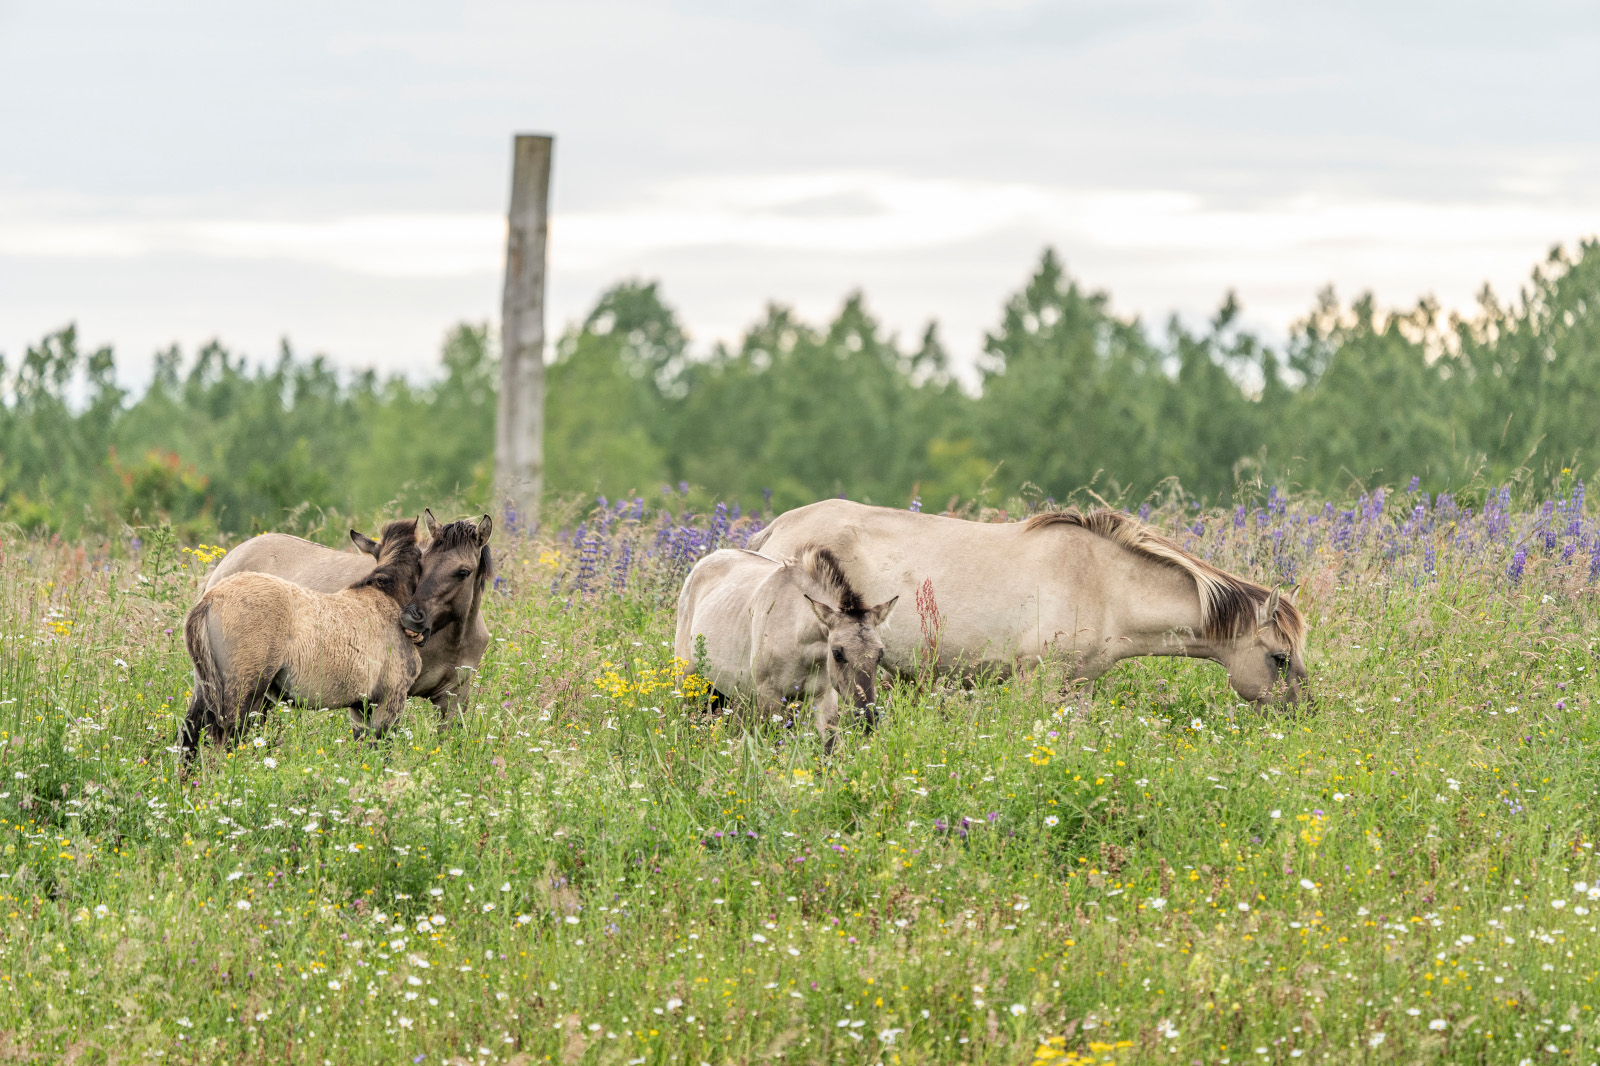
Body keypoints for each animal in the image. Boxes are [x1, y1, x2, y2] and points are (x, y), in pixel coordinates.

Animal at [181, 518, 424, 759]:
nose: (417, 619)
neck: (384, 599)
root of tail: (210, 599)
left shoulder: (359, 705)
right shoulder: (391, 699)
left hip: (205, 686)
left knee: (189, 733)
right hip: (242, 693)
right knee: (229, 740)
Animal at [674, 545, 898, 752]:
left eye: (880, 654)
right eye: (837, 653)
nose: (867, 719)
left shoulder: (824, 697)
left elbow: (830, 747)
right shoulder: (769, 698)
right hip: (688, 680)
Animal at [749, 500, 1308, 705]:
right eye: (1280, 658)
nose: (1302, 715)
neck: (1102, 582)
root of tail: (776, 530)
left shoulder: (1077, 687)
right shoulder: (1036, 681)